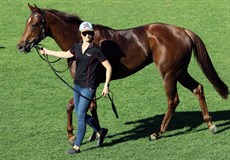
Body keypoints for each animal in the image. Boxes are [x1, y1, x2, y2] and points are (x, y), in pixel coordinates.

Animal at [16, 3, 228, 141]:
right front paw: (95, 133)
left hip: (169, 74)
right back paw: (210, 124)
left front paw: (74, 134)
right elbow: (89, 106)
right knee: (198, 88)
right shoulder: (92, 84)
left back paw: (157, 132)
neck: (81, 41)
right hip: (180, 72)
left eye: (34, 24)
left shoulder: (88, 83)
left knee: (173, 101)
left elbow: (75, 105)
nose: (21, 46)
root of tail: (182, 30)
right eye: (26, 22)